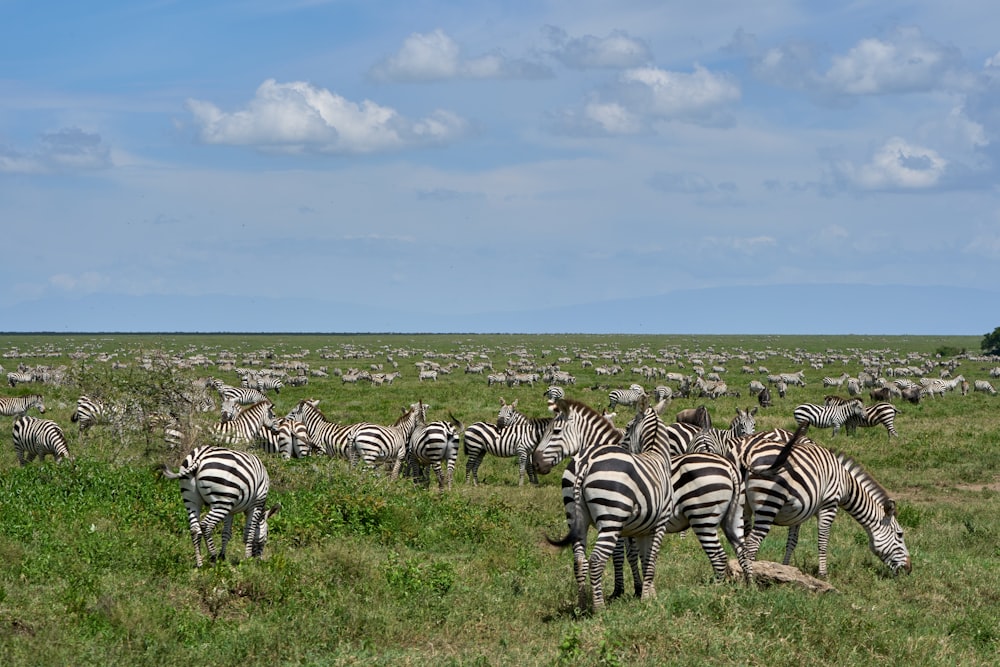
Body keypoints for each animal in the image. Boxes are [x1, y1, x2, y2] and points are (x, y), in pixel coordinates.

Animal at [540, 400, 672, 612]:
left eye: (555, 431)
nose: (535, 463)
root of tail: (584, 462)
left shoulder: (639, 527)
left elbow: (640, 556)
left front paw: (642, 590)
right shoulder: (655, 523)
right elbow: (642, 557)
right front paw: (638, 593)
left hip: (579, 519)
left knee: (580, 560)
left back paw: (582, 604)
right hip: (611, 519)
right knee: (595, 559)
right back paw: (599, 607)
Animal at [744, 428, 916, 580]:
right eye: (900, 534)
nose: (909, 569)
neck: (847, 484)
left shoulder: (800, 509)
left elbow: (792, 541)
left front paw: (785, 568)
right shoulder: (829, 504)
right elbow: (823, 540)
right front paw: (823, 574)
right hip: (769, 501)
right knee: (751, 541)